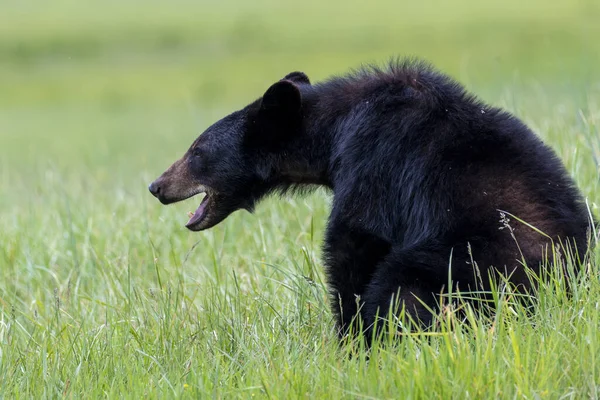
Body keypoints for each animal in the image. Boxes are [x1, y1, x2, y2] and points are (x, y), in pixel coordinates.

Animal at [151, 59, 596, 340]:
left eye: (196, 151)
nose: (156, 186)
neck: (333, 133)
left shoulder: (373, 160)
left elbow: (353, 243)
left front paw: (350, 338)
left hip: (469, 262)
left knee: (400, 286)